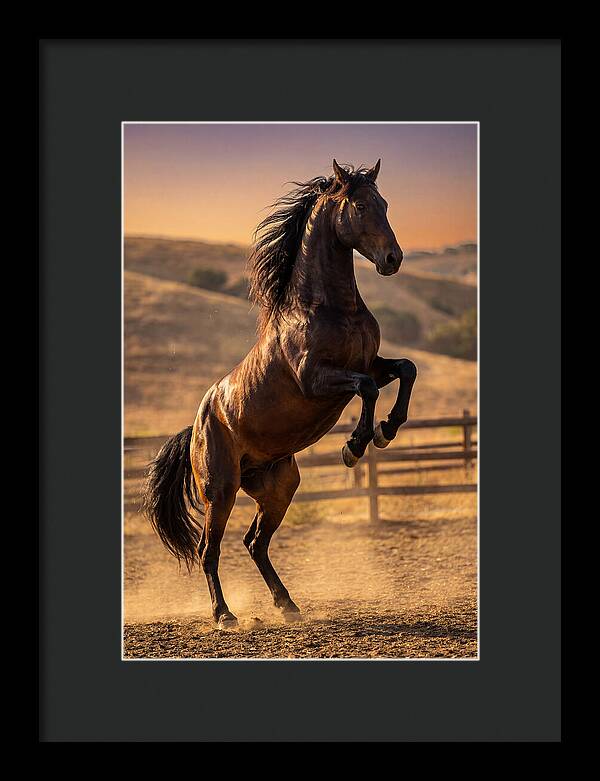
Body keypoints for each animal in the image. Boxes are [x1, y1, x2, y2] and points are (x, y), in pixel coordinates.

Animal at [143, 159, 417, 630]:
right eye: (361, 205)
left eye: (384, 203)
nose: (392, 259)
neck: (328, 308)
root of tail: (196, 425)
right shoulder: (316, 379)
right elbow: (365, 390)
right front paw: (354, 446)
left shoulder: (370, 364)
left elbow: (405, 370)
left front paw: (387, 430)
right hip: (221, 489)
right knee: (208, 549)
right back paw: (224, 615)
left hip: (278, 487)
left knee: (255, 542)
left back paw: (287, 605)